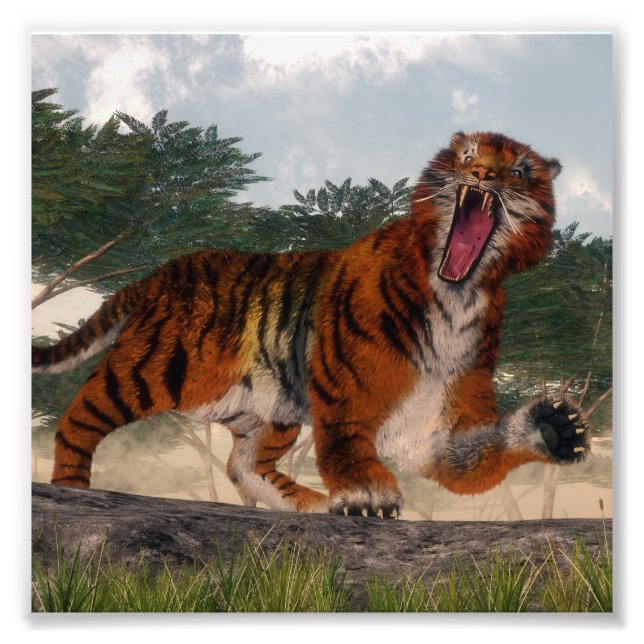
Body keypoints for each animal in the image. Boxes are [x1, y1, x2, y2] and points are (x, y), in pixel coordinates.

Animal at [32, 131, 590, 519]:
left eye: (520, 171)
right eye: (467, 156)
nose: (483, 176)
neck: (458, 294)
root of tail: (157, 273)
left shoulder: (436, 425)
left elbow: (474, 453)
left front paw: (554, 429)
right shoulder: (346, 390)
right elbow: (346, 442)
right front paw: (367, 495)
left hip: (266, 408)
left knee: (243, 464)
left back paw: (310, 502)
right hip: (156, 369)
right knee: (78, 418)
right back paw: (72, 491)